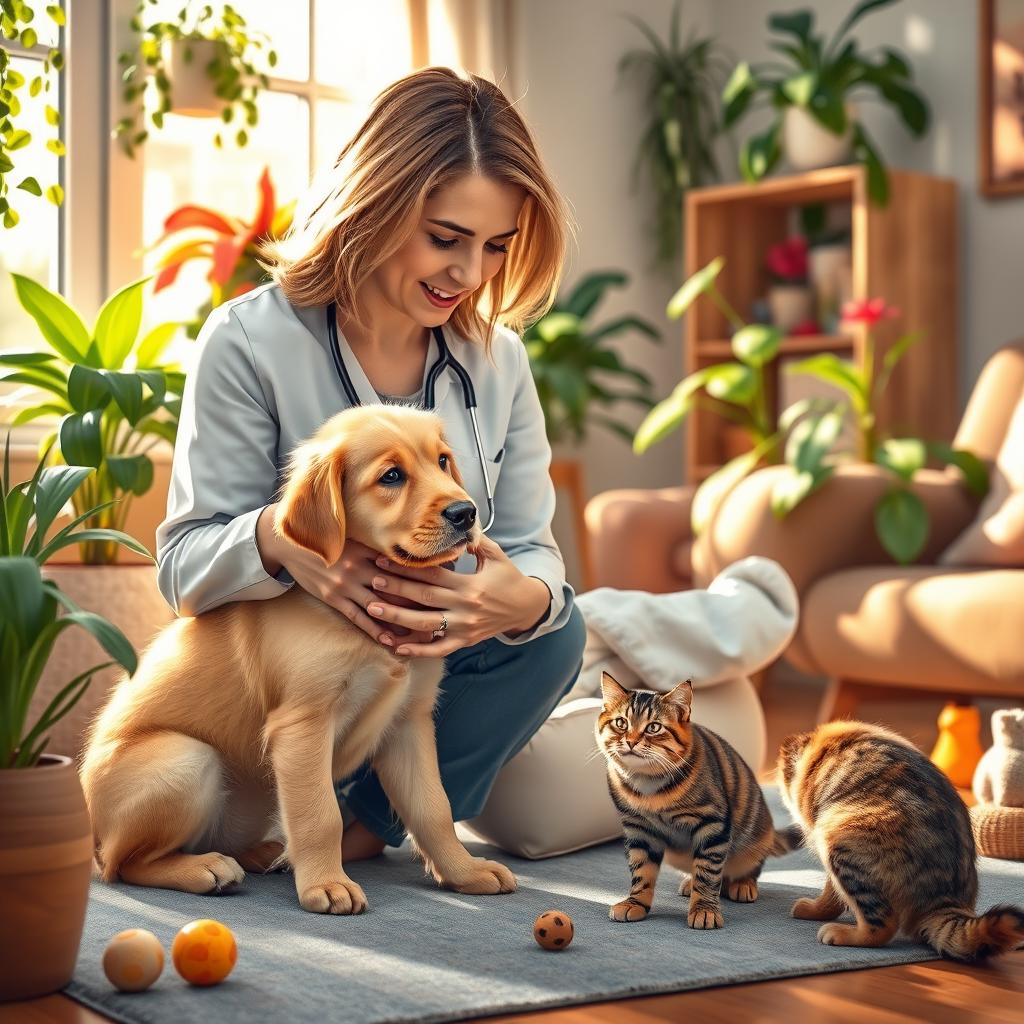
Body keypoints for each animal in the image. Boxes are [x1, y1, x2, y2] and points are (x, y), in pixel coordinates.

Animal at [77, 403, 520, 917]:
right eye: (391, 476)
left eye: (443, 461)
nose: (466, 512)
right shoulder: (303, 724)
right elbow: (320, 814)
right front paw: (327, 885)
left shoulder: (409, 721)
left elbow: (434, 808)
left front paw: (464, 871)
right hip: (185, 759)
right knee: (123, 864)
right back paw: (206, 869)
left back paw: (265, 853)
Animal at [598, 671, 802, 929]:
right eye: (621, 723)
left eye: (653, 727)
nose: (631, 741)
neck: (647, 785)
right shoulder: (638, 828)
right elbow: (642, 871)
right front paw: (635, 903)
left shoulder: (712, 825)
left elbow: (708, 873)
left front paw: (704, 910)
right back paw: (689, 882)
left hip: (753, 844)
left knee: (743, 871)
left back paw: (742, 884)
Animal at [774, 720, 1024, 958]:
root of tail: (945, 897)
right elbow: (832, 894)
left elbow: (832, 892)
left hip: (839, 837)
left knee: (882, 925)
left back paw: (841, 933)